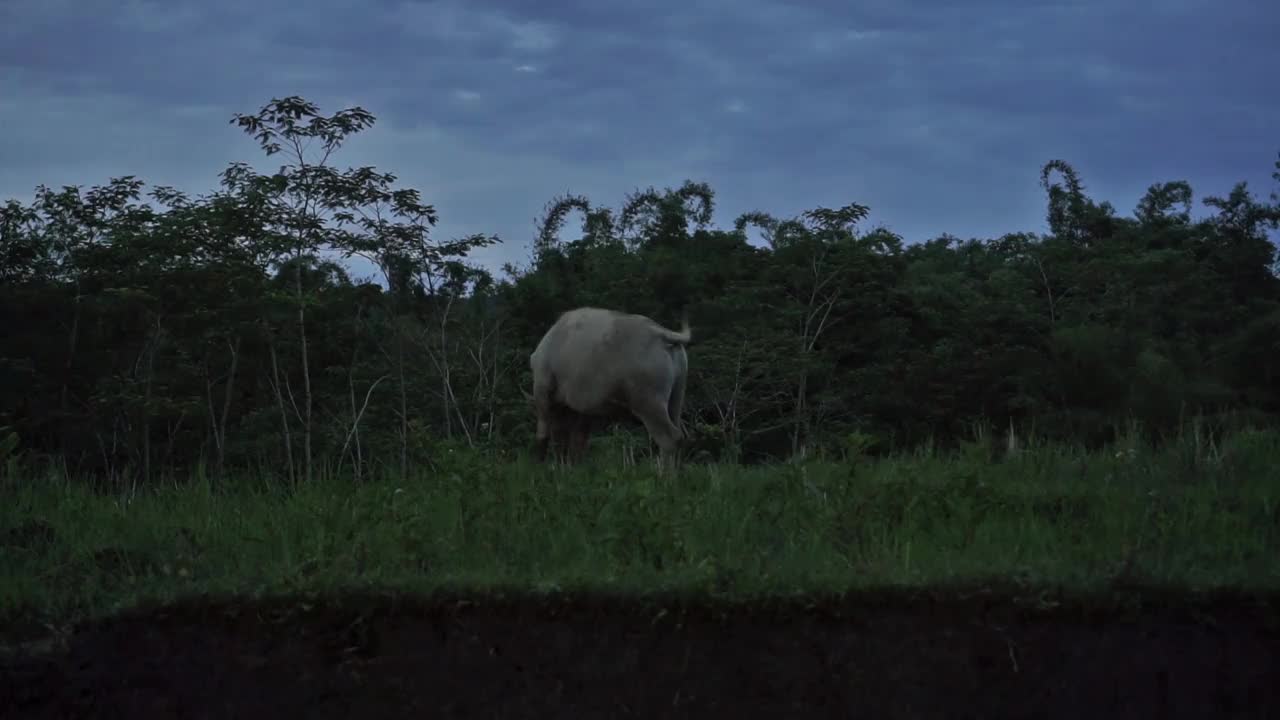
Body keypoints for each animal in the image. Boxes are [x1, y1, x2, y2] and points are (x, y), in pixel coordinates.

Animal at [527, 304, 696, 468]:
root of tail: (661, 333)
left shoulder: (542, 389)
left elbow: (546, 432)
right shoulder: (582, 409)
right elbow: (577, 439)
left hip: (648, 403)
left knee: (669, 438)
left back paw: (665, 476)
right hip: (677, 396)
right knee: (680, 434)